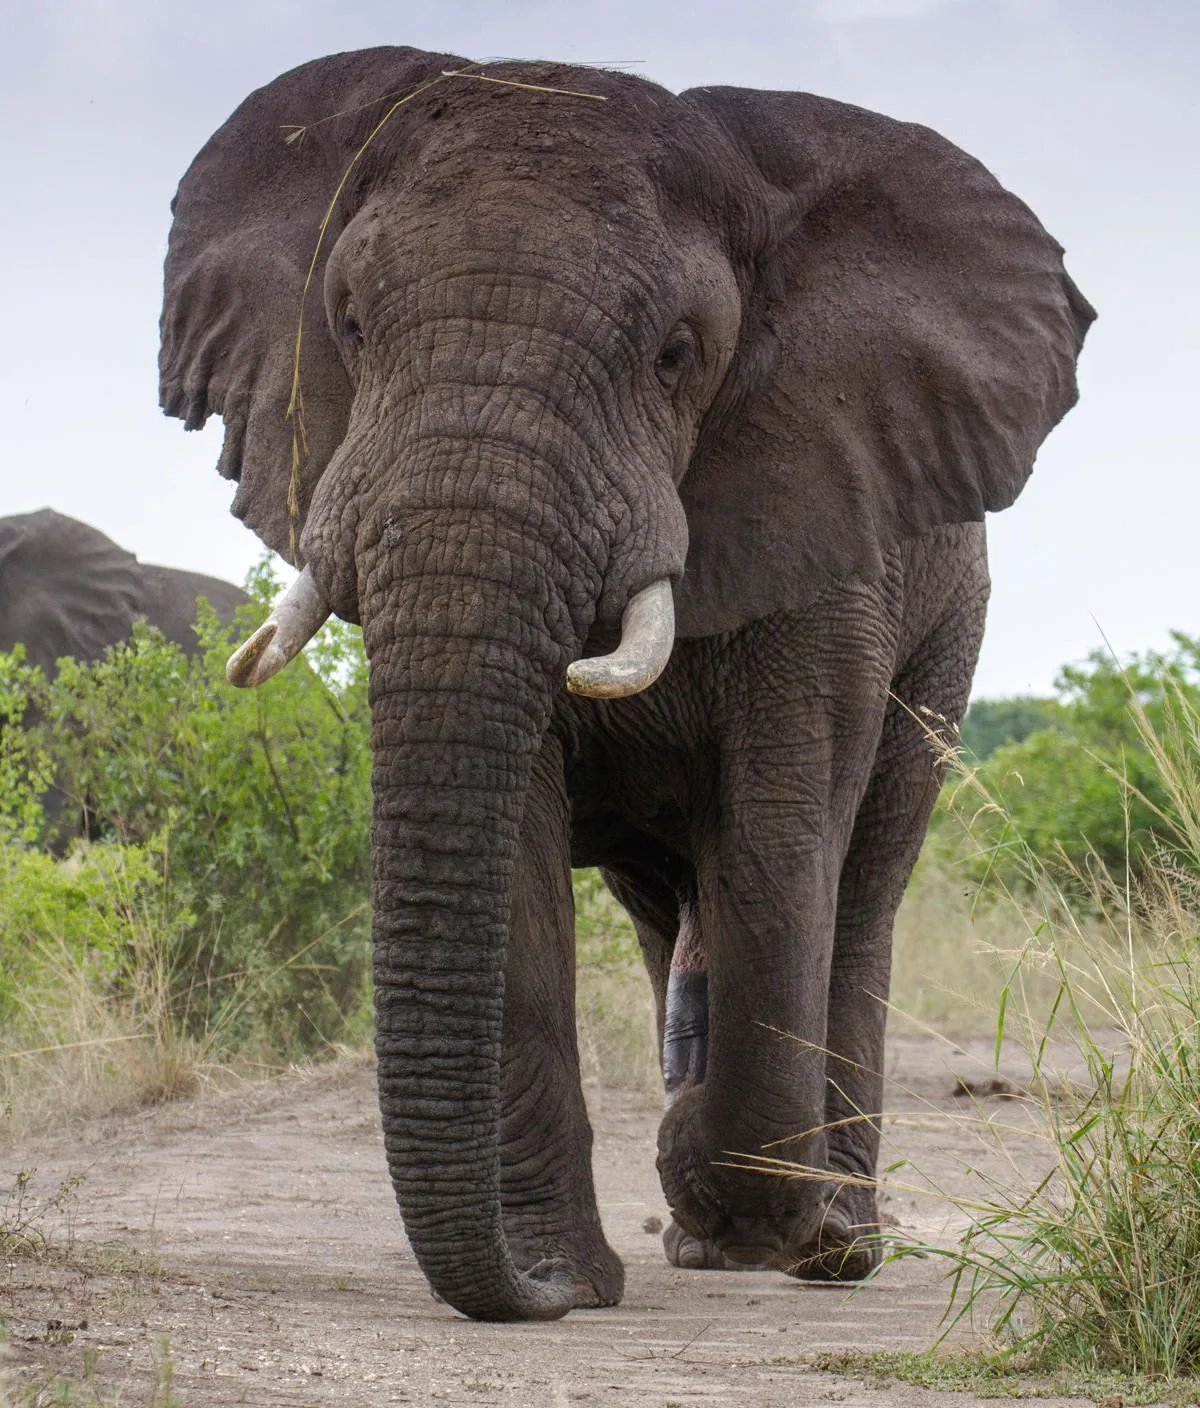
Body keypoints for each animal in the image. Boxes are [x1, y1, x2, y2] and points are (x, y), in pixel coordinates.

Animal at [160, 47, 1093, 1323]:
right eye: (346, 323)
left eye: (676, 354)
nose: (529, 1289)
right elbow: (515, 836)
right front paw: (567, 1270)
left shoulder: (825, 510)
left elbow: (778, 845)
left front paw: (702, 1185)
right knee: (668, 906)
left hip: (949, 634)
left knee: (860, 889)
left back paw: (830, 1243)